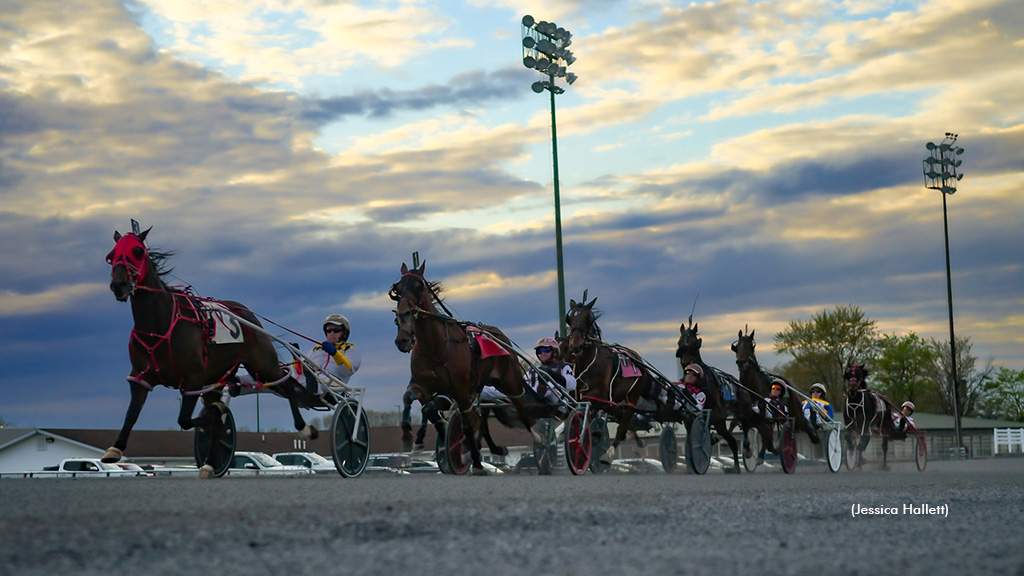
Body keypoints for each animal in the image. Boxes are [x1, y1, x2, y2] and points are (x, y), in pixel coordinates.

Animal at [105, 227, 317, 475]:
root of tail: (246, 313)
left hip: (262, 364)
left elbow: (186, 420)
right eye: (112, 255)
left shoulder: (193, 379)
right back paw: (209, 463)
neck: (159, 325)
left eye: (137, 251)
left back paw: (304, 428)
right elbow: (132, 414)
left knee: (287, 385)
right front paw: (114, 449)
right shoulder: (141, 378)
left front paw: (218, 412)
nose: (119, 285)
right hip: (218, 377)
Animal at [387, 260, 540, 471]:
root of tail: (499, 334)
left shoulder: (459, 390)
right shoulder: (423, 386)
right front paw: (412, 438)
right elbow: (412, 401)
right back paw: (493, 448)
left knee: (518, 404)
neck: (436, 346)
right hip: (481, 387)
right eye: (398, 288)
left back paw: (537, 438)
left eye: (419, 286)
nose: (402, 339)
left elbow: (465, 423)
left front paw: (474, 459)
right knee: (481, 417)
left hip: (509, 380)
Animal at [561, 293, 655, 463]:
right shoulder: (579, 396)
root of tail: (637, 358)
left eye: (588, 318)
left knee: (624, 420)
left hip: (633, 396)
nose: (576, 345)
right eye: (569, 318)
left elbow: (587, 414)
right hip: (611, 402)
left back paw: (609, 451)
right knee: (620, 416)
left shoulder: (598, 396)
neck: (588, 363)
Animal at [671, 317, 745, 471]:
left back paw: (736, 465)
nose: (687, 365)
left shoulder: (715, 413)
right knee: (731, 439)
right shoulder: (689, 418)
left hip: (725, 419)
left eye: (694, 343)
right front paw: (689, 465)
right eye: (679, 342)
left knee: (733, 439)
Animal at [733, 327, 819, 457]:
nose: (742, 363)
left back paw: (814, 438)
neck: (752, 388)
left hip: (795, 411)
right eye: (737, 346)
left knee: (803, 424)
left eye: (750, 346)